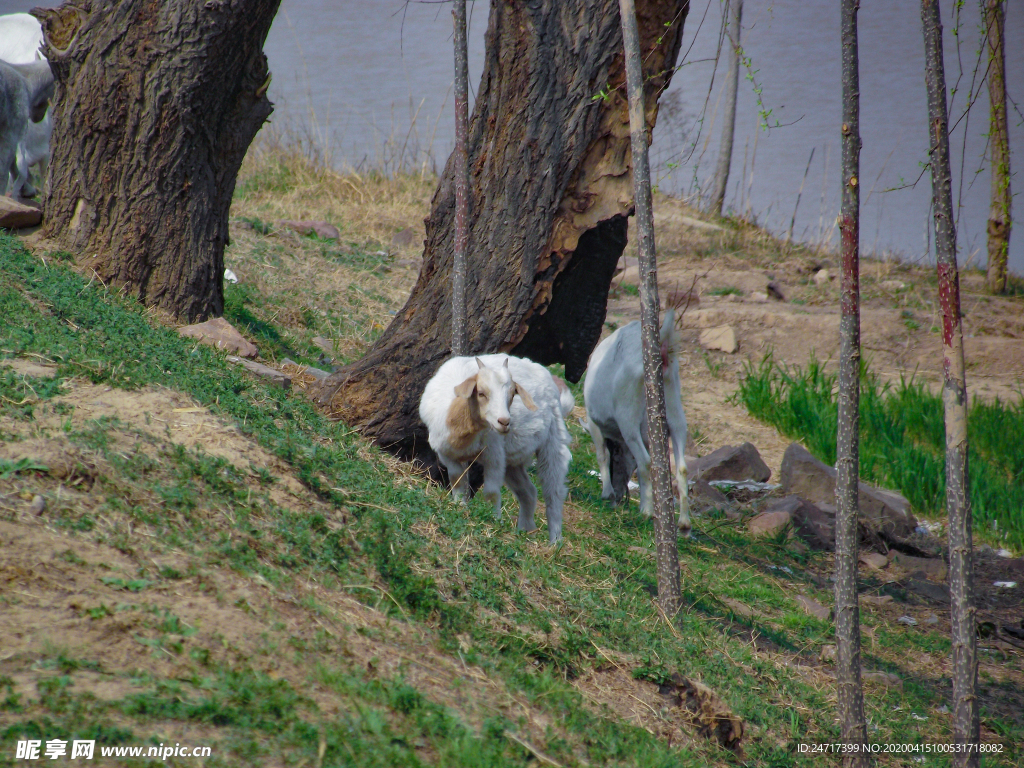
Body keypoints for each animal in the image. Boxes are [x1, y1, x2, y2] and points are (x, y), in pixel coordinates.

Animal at [417, 356, 577, 544]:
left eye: (512, 394)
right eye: (481, 393)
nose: (505, 422)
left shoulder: (493, 454)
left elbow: (491, 493)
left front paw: (493, 521)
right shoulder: (447, 455)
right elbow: (457, 482)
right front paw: (459, 507)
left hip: (553, 440)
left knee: (554, 492)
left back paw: (555, 541)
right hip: (513, 459)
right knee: (528, 492)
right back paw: (526, 530)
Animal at [581, 307, 692, 536]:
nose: (619, 496)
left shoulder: (593, 422)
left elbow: (602, 454)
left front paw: (607, 493)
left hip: (628, 416)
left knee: (646, 461)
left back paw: (646, 513)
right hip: (675, 412)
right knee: (681, 466)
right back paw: (684, 523)